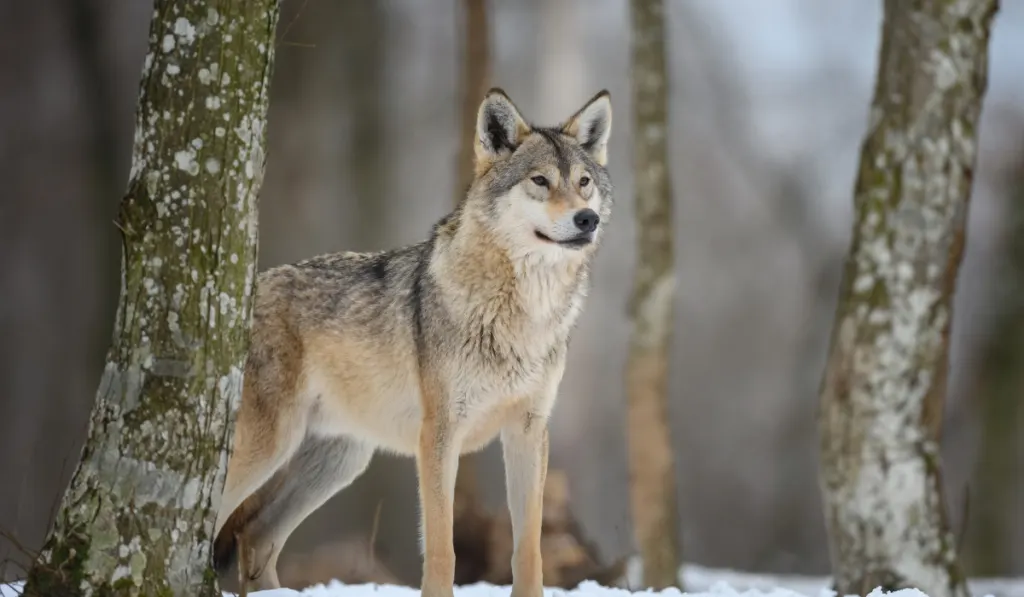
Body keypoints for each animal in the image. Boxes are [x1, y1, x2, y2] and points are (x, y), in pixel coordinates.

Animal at [211, 85, 610, 597]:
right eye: (540, 181)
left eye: (583, 182)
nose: (588, 219)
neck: (521, 315)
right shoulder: (438, 435)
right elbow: (442, 548)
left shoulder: (528, 430)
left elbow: (529, 548)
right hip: (265, 451)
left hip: (340, 462)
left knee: (255, 536)